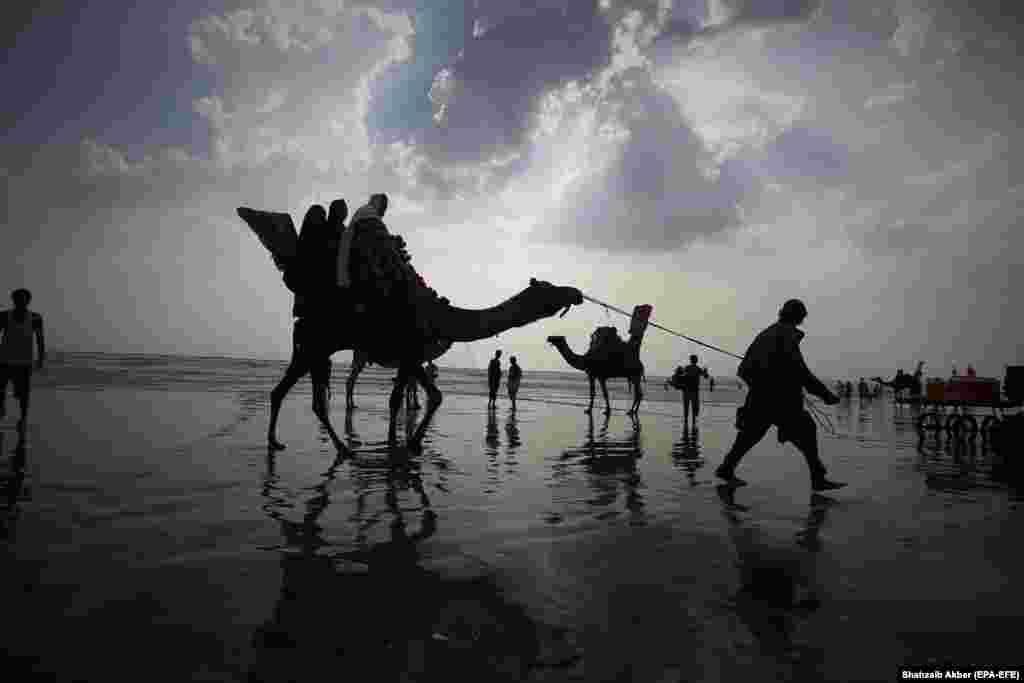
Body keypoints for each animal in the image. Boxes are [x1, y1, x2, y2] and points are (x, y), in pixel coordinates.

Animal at [234, 208, 581, 454]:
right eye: (548, 289)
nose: (575, 293)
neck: (443, 317)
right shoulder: (412, 353)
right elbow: (408, 398)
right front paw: (403, 445)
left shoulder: (411, 357)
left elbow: (420, 397)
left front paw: (406, 444)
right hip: (316, 344)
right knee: (311, 397)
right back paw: (341, 448)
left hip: (309, 346)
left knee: (286, 392)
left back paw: (277, 442)